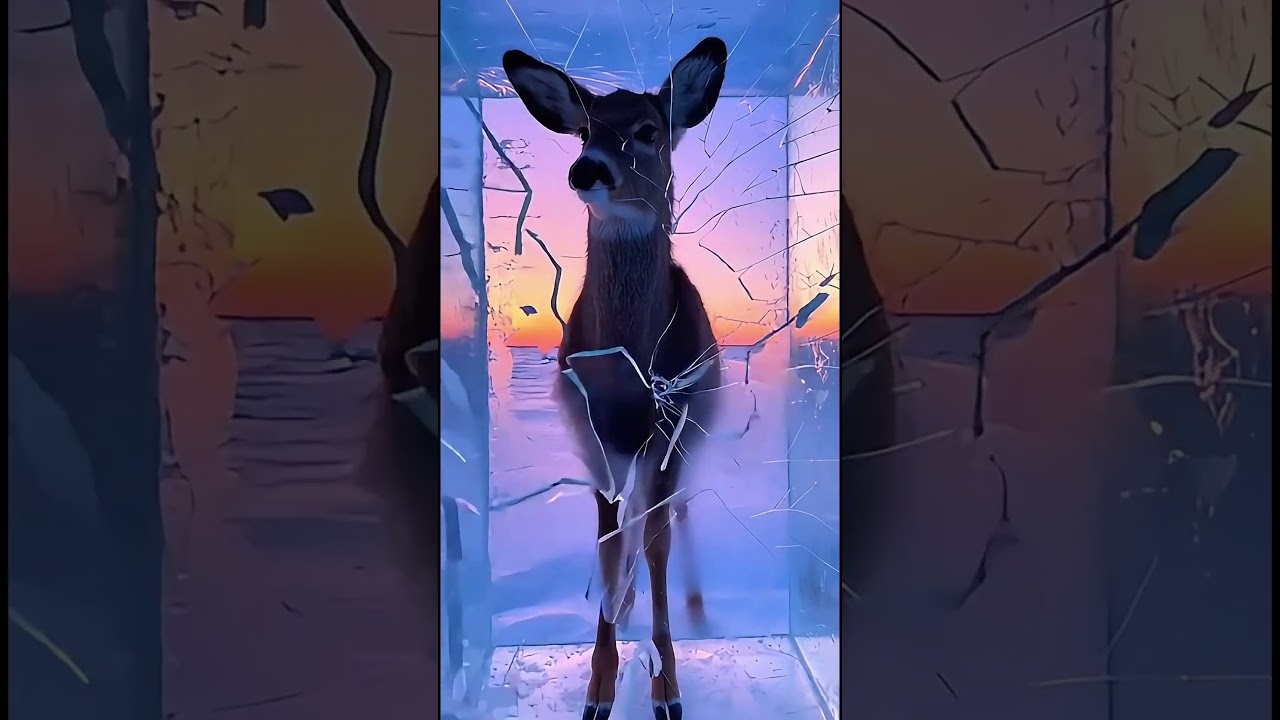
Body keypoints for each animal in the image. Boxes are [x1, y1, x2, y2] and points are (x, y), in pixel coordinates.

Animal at [502, 37, 730, 720]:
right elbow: (607, 540)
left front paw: (668, 688)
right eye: (583, 129)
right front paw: (598, 689)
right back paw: (627, 604)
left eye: (649, 130)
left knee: (674, 516)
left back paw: (696, 606)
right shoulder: (595, 432)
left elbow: (656, 543)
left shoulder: (671, 425)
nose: (588, 170)